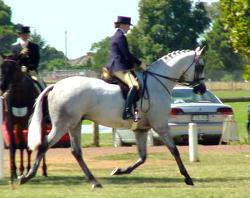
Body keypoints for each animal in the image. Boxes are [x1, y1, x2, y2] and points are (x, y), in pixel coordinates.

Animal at [0, 55, 47, 183]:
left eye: (13, 68)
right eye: (1, 66)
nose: (2, 86)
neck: (19, 95)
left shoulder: (28, 121)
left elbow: (27, 146)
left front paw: (27, 170)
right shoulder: (11, 123)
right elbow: (14, 145)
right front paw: (14, 172)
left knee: (42, 140)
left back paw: (43, 170)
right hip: (19, 124)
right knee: (20, 143)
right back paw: (21, 170)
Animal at [19, 46, 206, 187]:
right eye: (200, 66)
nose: (201, 89)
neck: (157, 83)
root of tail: (56, 86)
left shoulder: (142, 129)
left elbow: (142, 157)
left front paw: (120, 170)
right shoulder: (160, 125)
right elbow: (174, 150)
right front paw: (187, 178)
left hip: (74, 124)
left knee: (76, 151)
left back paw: (94, 181)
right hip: (62, 125)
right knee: (45, 144)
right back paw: (26, 176)